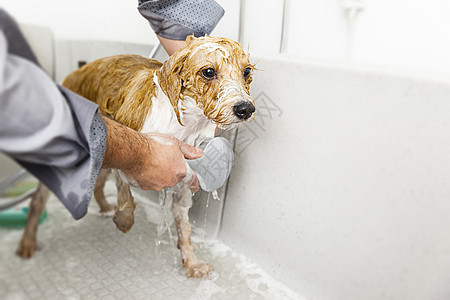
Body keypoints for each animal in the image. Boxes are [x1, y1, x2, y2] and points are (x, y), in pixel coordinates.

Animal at [15, 36, 255, 278]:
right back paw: (27, 243)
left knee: (98, 184)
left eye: (246, 71)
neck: (186, 125)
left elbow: (184, 228)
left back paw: (104, 207)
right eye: (208, 72)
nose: (245, 109)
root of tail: (74, 74)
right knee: (38, 200)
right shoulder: (132, 150)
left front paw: (191, 262)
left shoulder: (185, 181)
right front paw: (125, 219)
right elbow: (125, 191)